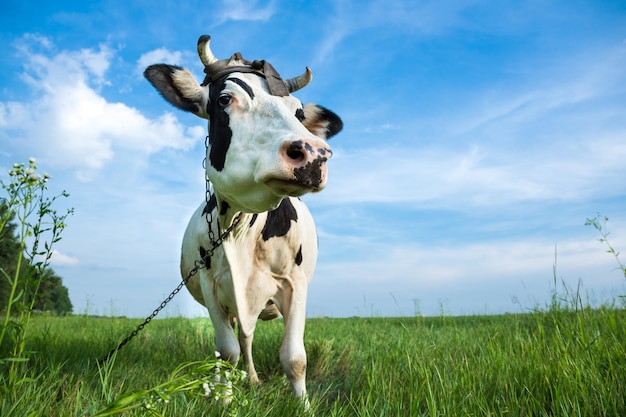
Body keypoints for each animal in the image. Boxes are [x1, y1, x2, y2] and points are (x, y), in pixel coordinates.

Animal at [143, 34, 342, 398]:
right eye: (224, 98)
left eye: (298, 111)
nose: (314, 153)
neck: (241, 231)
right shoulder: (211, 285)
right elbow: (226, 351)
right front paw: (224, 398)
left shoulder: (295, 283)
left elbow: (294, 358)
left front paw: (302, 403)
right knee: (241, 339)